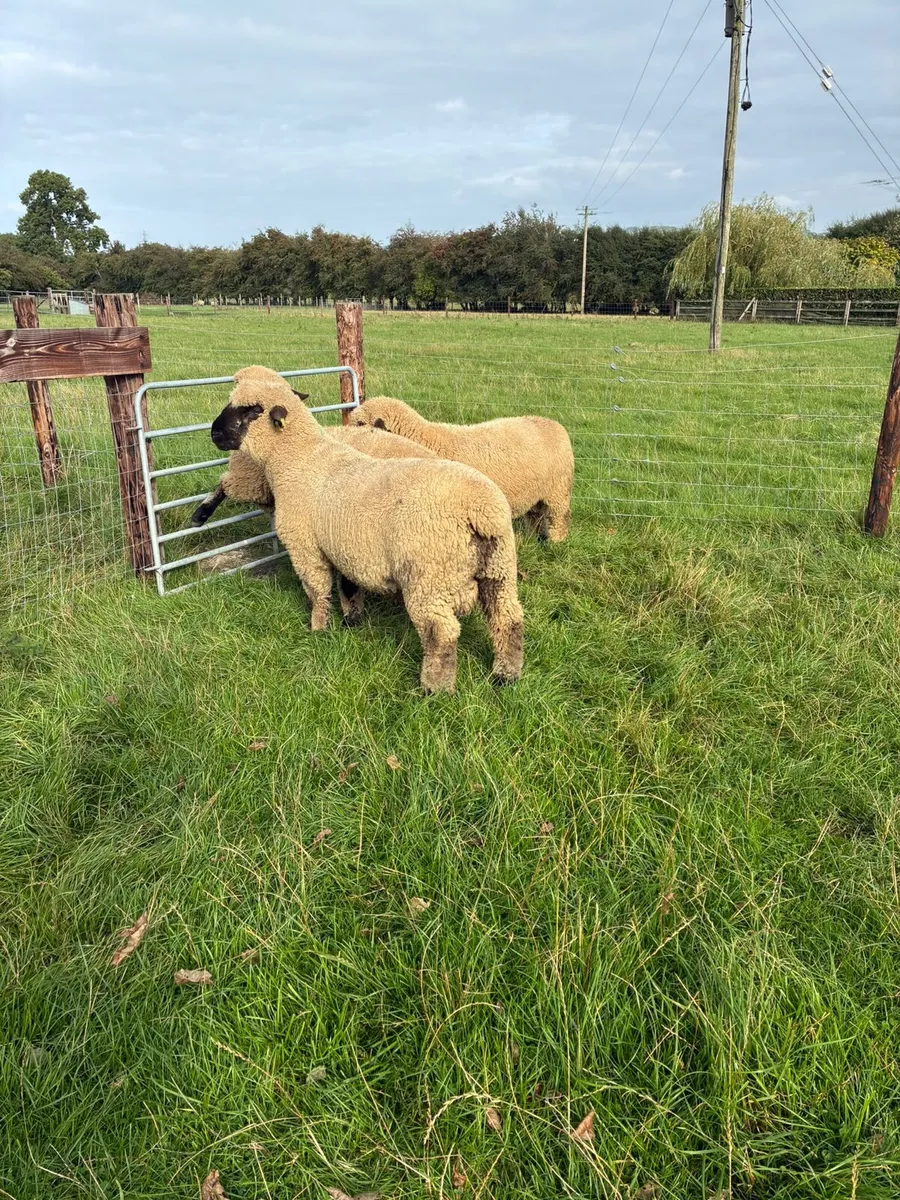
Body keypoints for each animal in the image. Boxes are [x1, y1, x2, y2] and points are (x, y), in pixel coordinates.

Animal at [210, 367, 524, 694]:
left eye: (252, 410)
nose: (214, 433)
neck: (299, 459)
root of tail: (481, 510)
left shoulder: (305, 547)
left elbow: (318, 591)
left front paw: (318, 629)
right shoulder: (346, 549)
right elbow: (348, 587)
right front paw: (351, 620)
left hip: (429, 579)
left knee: (441, 633)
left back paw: (434, 690)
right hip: (499, 570)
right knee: (508, 619)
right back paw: (505, 676)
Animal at [348, 396, 574, 542]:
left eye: (360, 424)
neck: (427, 440)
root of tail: (555, 424)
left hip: (559, 491)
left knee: (559, 517)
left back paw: (556, 542)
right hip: (537, 493)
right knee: (535, 516)